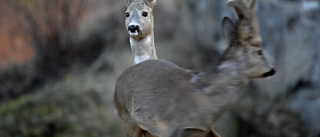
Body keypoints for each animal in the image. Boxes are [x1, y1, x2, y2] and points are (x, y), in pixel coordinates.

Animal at [114, 0, 274, 136]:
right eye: (259, 51)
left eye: (145, 13)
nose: (272, 69)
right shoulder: (172, 128)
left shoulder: (203, 130)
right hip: (128, 120)